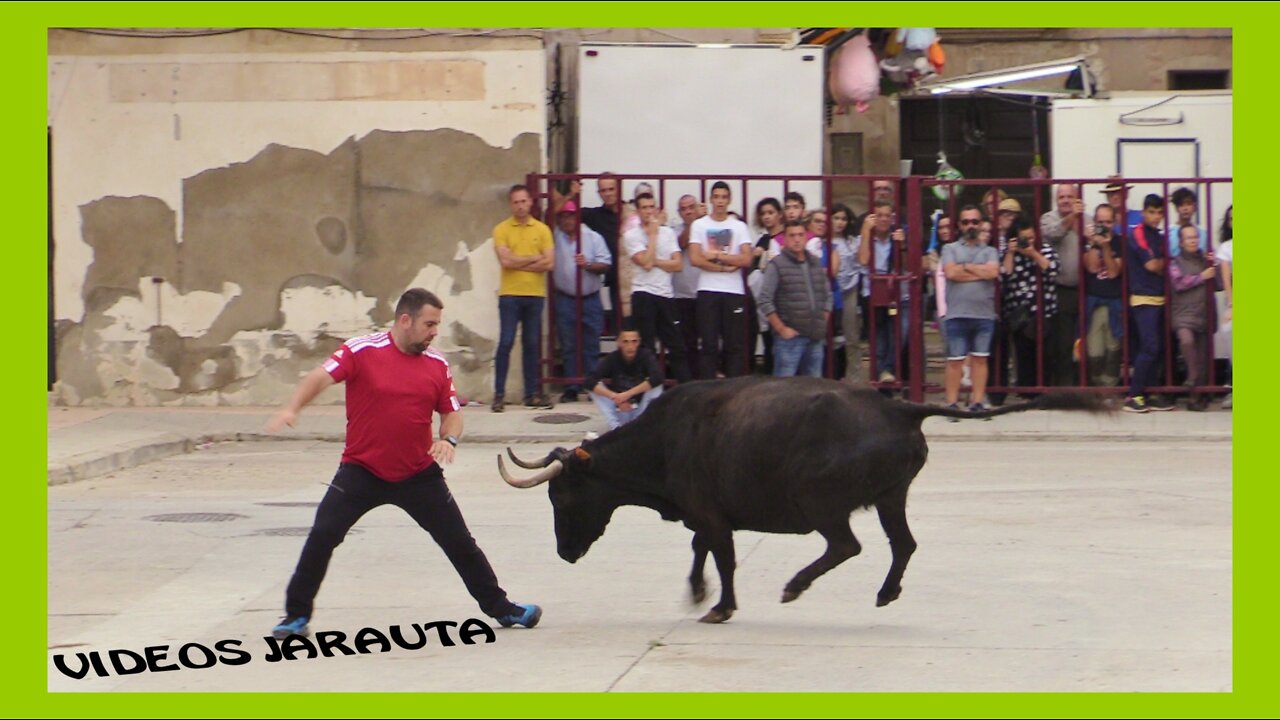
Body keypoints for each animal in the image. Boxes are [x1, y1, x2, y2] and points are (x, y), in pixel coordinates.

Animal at [494, 376, 1105, 622]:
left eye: (563, 495)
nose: (564, 553)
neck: (668, 437)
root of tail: (897, 407)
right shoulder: (706, 513)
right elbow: (701, 550)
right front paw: (698, 594)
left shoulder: (711, 513)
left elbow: (721, 556)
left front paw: (720, 606)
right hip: (892, 496)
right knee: (902, 545)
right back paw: (885, 594)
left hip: (821, 503)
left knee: (846, 546)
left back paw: (794, 586)